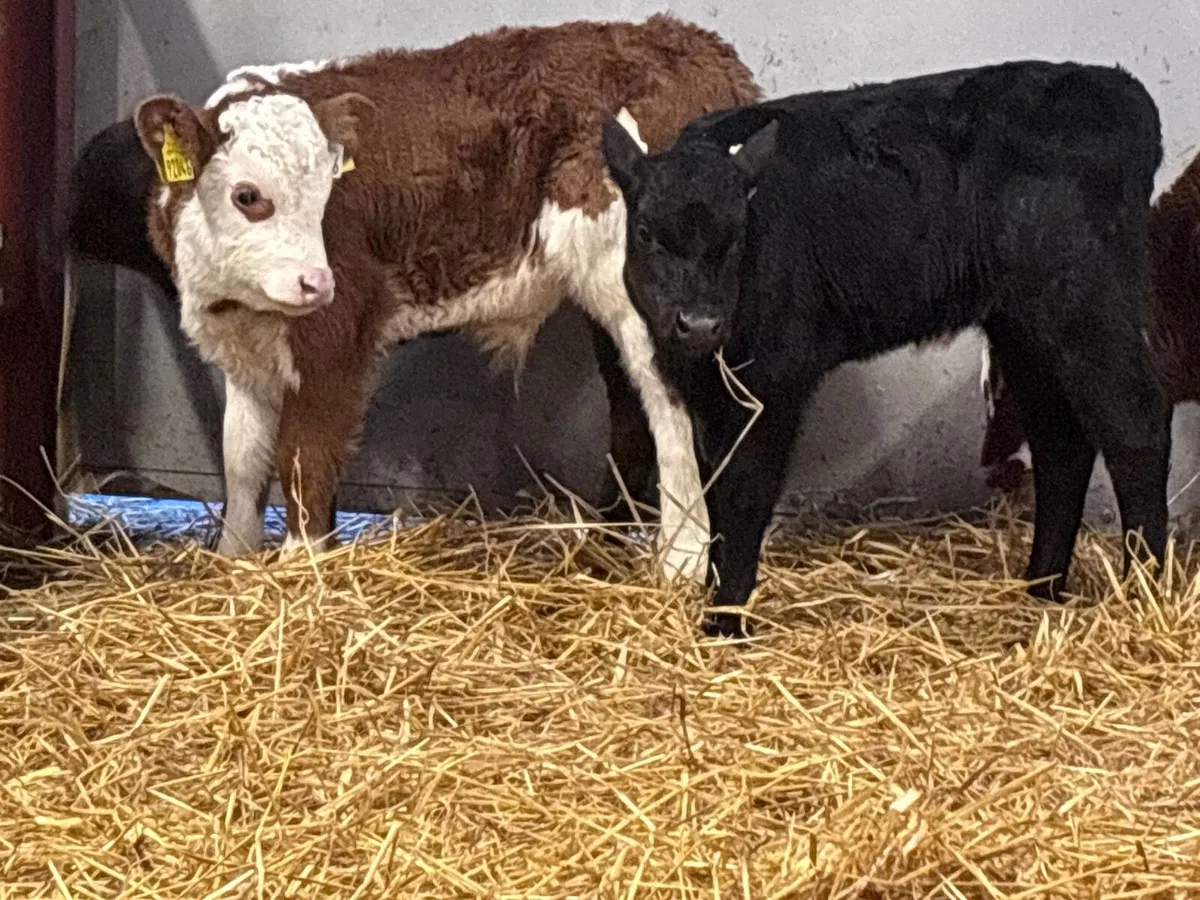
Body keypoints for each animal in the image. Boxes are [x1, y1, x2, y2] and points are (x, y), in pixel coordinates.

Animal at [80, 16, 761, 580]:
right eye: (248, 195)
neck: (234, 297)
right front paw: (233, 561)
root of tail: (691, 42)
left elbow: (305, 455)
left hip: (660, 296)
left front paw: (302, 569)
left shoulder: (338, 334)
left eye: (328, 191)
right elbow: (242, 460)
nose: (315, 282)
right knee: (630, 404)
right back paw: (607, 539)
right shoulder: (242, 347)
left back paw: (682, 561)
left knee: (672, 404)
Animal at [602, 60, 1170, 637]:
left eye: (739, 234)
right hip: (1024, 327)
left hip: (1087, 303)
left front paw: (726, 619)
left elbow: (745, 490)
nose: (699, 323)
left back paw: (1143, 588)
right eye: (645, 232)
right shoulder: (707, 392)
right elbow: (714, 482)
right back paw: (1041, 587)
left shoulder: (775, 380)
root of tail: (1118, 88)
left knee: (1136, 424)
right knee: (1061, 442)